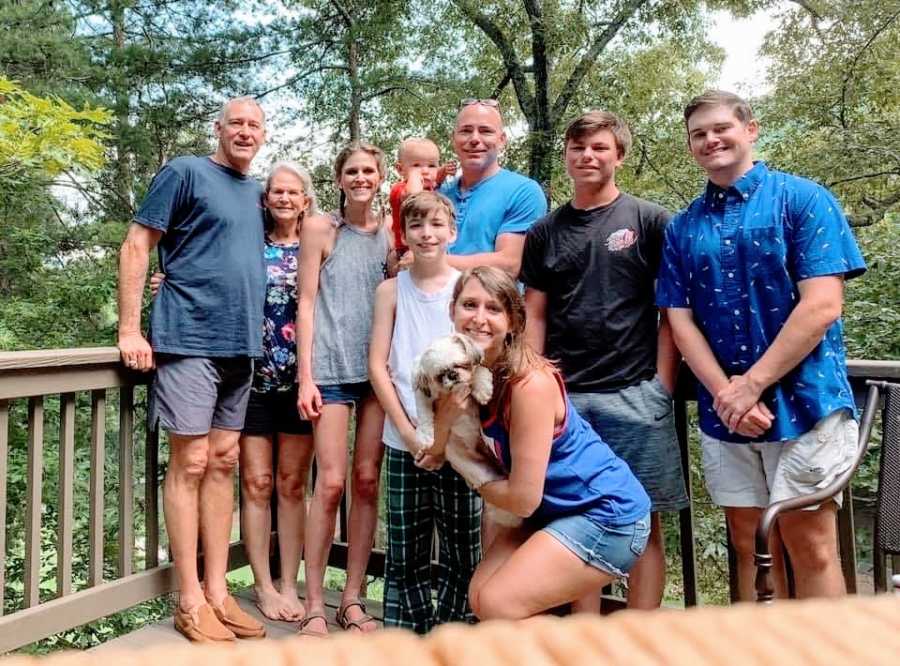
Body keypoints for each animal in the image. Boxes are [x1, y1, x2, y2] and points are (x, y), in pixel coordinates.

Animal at [410, 334, 520, 528]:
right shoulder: (424, 395)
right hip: (476, 469)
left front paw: (482, 388)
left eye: (461, 365)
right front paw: (425, 435)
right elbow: (423, 412)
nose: (453, 375)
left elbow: (479, 370)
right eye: (440, 376)